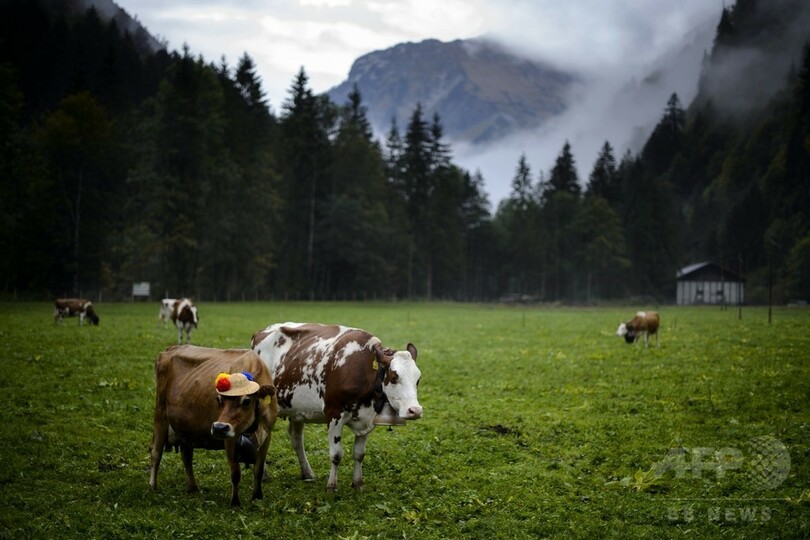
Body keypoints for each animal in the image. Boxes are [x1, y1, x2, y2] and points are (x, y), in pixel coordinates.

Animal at [148, 346, 278, 506]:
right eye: (218, 399)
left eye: (246, 401)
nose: (219, 428)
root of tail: (171, 348)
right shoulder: (230, 439)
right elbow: (235, 473)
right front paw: (235, 503)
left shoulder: (267, 434)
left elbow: (258, 470)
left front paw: (257, 497)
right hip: (160, 411)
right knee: (156, 452)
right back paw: (152, 486)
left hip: (186, 427)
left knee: (187, 455)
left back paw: (193, 488)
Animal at [249, 322, 420, 492]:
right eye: (394, 377)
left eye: (418, 379)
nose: (415, 410)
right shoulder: (334, 414)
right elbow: (336, 455)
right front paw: (331, 486)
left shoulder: (367, 419)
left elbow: (359, 454)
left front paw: (358, 484)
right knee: (262, 437)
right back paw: (263, 475)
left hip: (296, 410)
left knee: (296, 439)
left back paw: (307, 473)